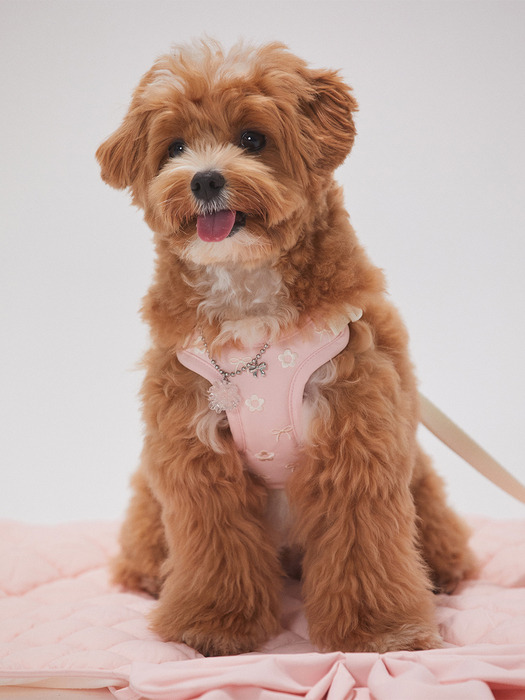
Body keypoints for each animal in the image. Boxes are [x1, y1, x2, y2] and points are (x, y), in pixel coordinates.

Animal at [95, 39, 474, 656]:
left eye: (253, 138)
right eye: (175, 147)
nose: (204, 181)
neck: (248, 296)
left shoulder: (355, 440)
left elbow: (363, 545)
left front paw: (380, 631)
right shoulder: (196, 451)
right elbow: (216, 545)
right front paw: (213, 624)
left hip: (416, 473)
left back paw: (443, 570)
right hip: (152, 496)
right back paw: (152, 575)